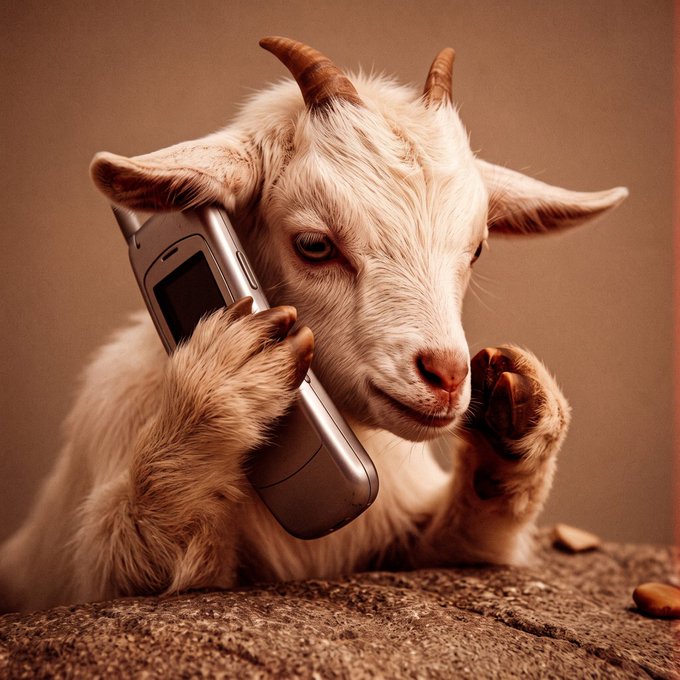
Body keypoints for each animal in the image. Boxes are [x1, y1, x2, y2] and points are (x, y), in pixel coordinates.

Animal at [0, 37, 627, 612]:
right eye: (314, 245)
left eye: (476, 250)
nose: (447, 377)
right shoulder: (108, 559)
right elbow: (137, 558)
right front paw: (223, 385)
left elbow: (466, 541)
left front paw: (521, 411)